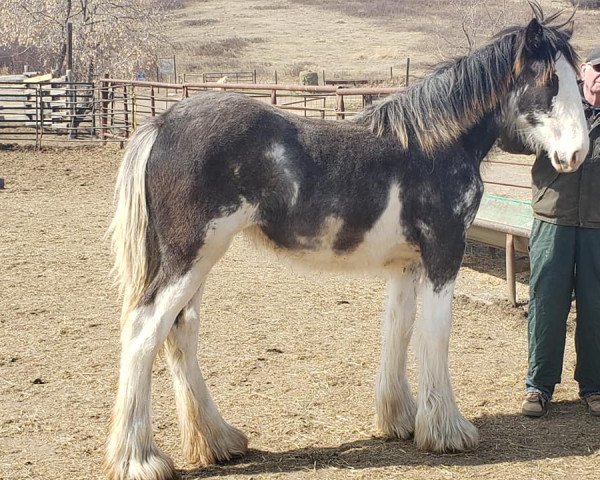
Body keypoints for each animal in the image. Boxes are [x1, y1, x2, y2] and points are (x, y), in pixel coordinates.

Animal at [105, 7, 588, 480]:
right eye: (550, 80)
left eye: (579, 80)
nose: (578, 154)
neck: (435, 143)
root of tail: (162, 124)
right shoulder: (444, 255)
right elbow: (435, 335)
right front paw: (448, 430)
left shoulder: (406, 264)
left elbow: (399, 329)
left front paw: (400, 420)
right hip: (189, 257)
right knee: (144, 331)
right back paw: (139, 460)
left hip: (199, 260)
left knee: (180, 332)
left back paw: (219, 441)